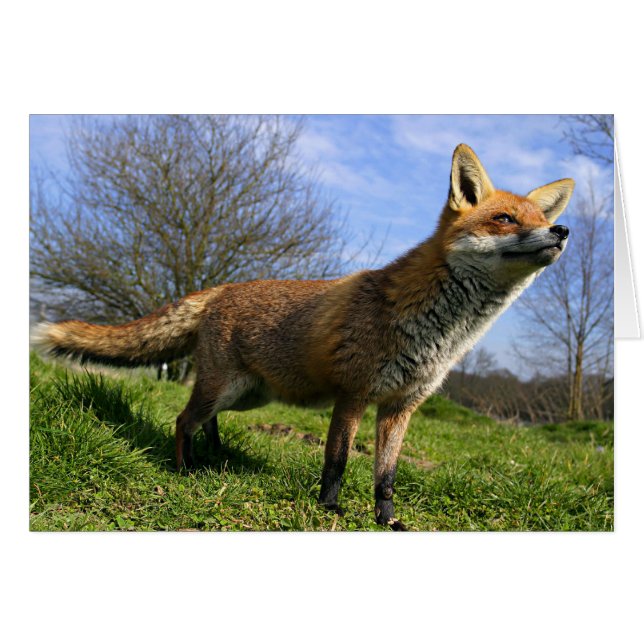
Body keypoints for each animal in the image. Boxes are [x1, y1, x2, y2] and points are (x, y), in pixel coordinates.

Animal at [33, 144, 574, 530]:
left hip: (247, 396)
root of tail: (224, 287)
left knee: (205, 421)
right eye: (504, 219)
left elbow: (386, 476)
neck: (438, 334)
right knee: (183, 419)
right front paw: (329, 510)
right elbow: (337, 462)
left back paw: (216, 459)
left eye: (541, 220)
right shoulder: (354, 394)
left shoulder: (401, 407)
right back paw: (186, 469)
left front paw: (387, 521)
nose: (563, 231)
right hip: (225, 388)